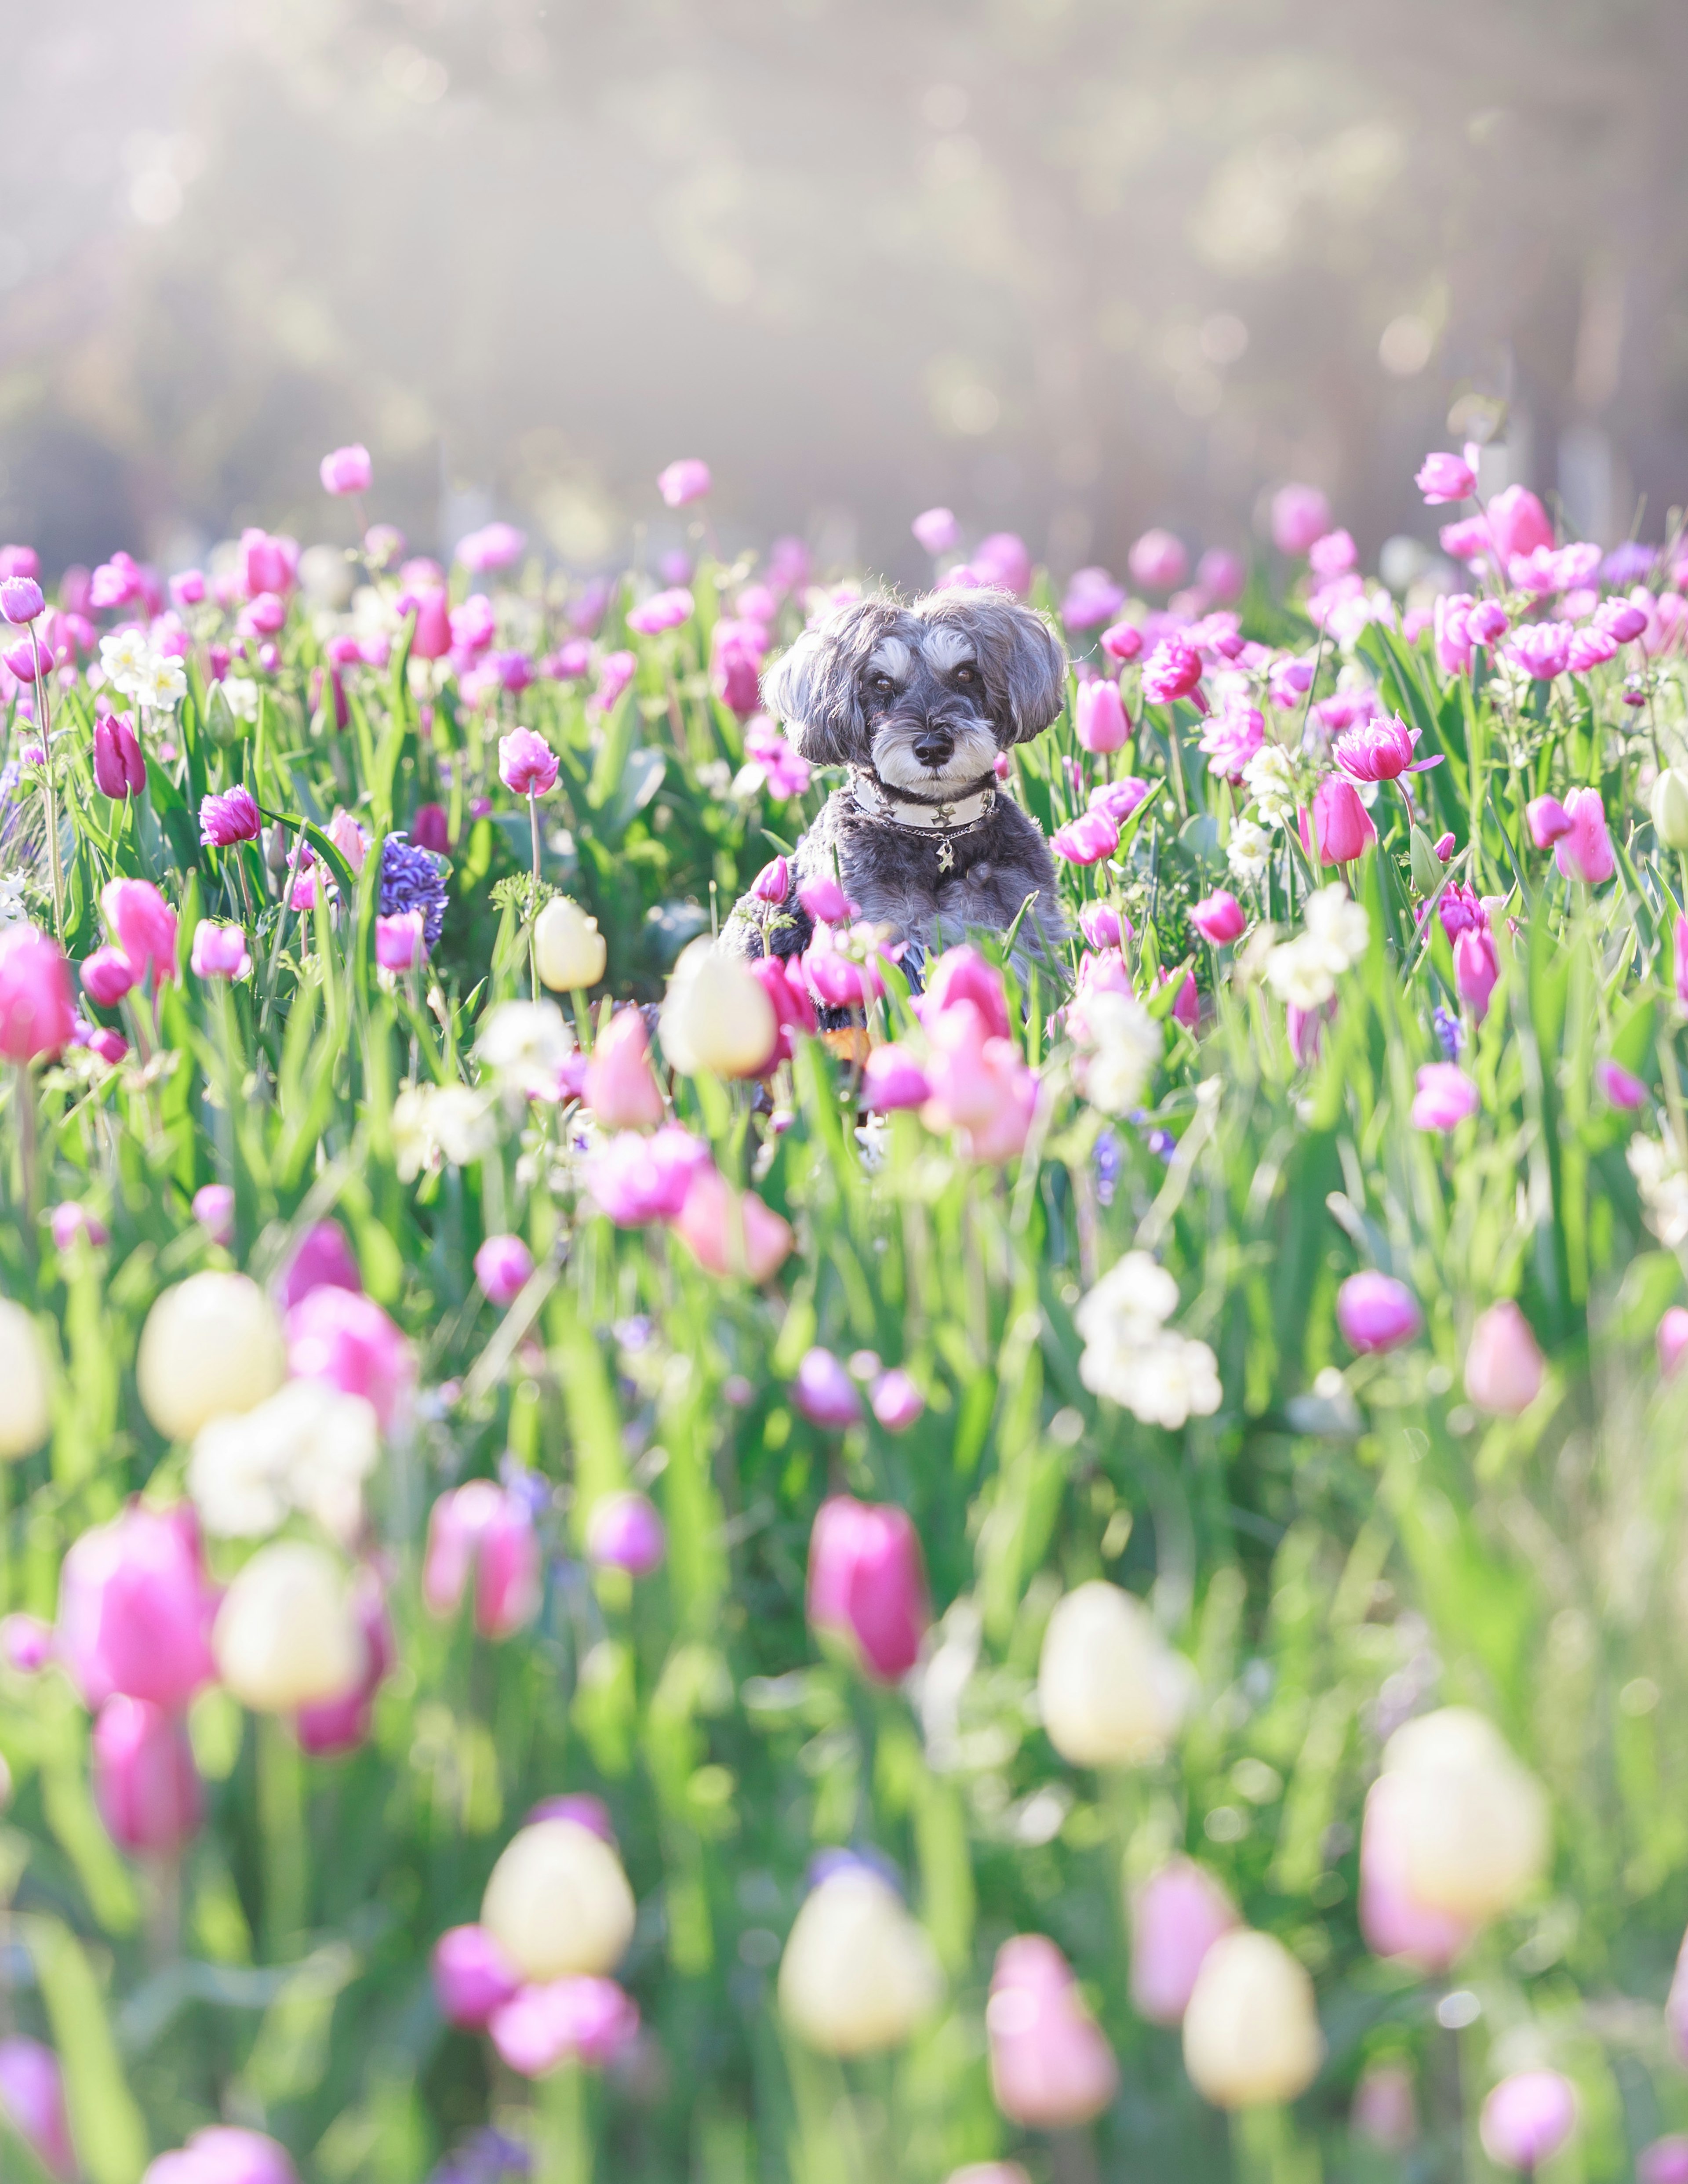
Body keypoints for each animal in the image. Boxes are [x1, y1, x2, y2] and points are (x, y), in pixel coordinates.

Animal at [725, 581, 1066, 991]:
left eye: (966, 674)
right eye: (882, 683)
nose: (933, 749)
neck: (936, 832)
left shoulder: (1022, 924)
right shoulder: (884, 933)